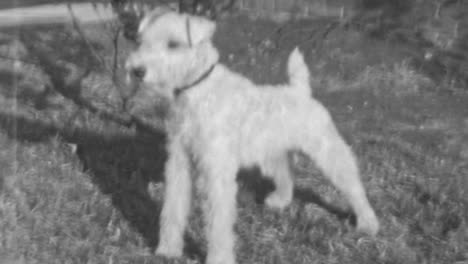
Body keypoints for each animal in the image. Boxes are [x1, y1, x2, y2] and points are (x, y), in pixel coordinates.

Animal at [126, 7, 378, 264]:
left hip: (327, 151)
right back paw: (279, 202)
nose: (137, 71)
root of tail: (301, 91)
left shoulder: (217, 171)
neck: (196, 89)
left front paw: (219, 258)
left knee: (353, 186)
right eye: (141, 40)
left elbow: (218, 224)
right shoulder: (179, 162)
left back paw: (368, 224)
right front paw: (168, 249)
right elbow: (172, 209)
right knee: (287, 175)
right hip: (273, 153)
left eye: (174, 44)